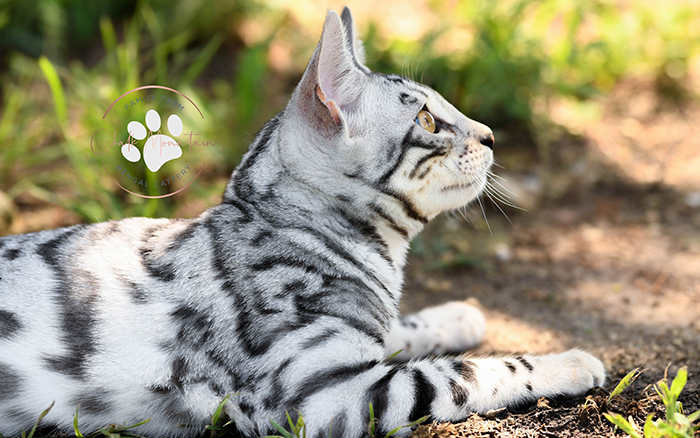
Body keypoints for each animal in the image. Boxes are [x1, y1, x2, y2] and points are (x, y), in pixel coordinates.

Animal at [0, 7, 604, 438]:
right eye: (429, 120)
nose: (492, 136)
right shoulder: (323, 396)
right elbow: (468, 372)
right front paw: (571, 363)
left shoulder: (360, 341)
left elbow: (401, 327)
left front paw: (458, 316)